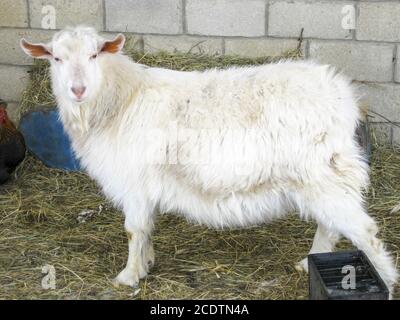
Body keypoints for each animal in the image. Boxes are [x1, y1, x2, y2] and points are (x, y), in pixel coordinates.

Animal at [21, 27, 396, 292]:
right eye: (55, 58)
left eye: (95, 54)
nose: (77, 90)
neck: (119, 100)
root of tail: (346, 97)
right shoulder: (146, 186)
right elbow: (146, 229)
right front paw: (147, 263)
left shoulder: (134, 183)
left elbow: (133, 230)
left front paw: (128, 275)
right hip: (322, 179)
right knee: (330, 225)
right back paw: (308, 263)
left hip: (327, 173)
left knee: (365, 231)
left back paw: (387, 281)